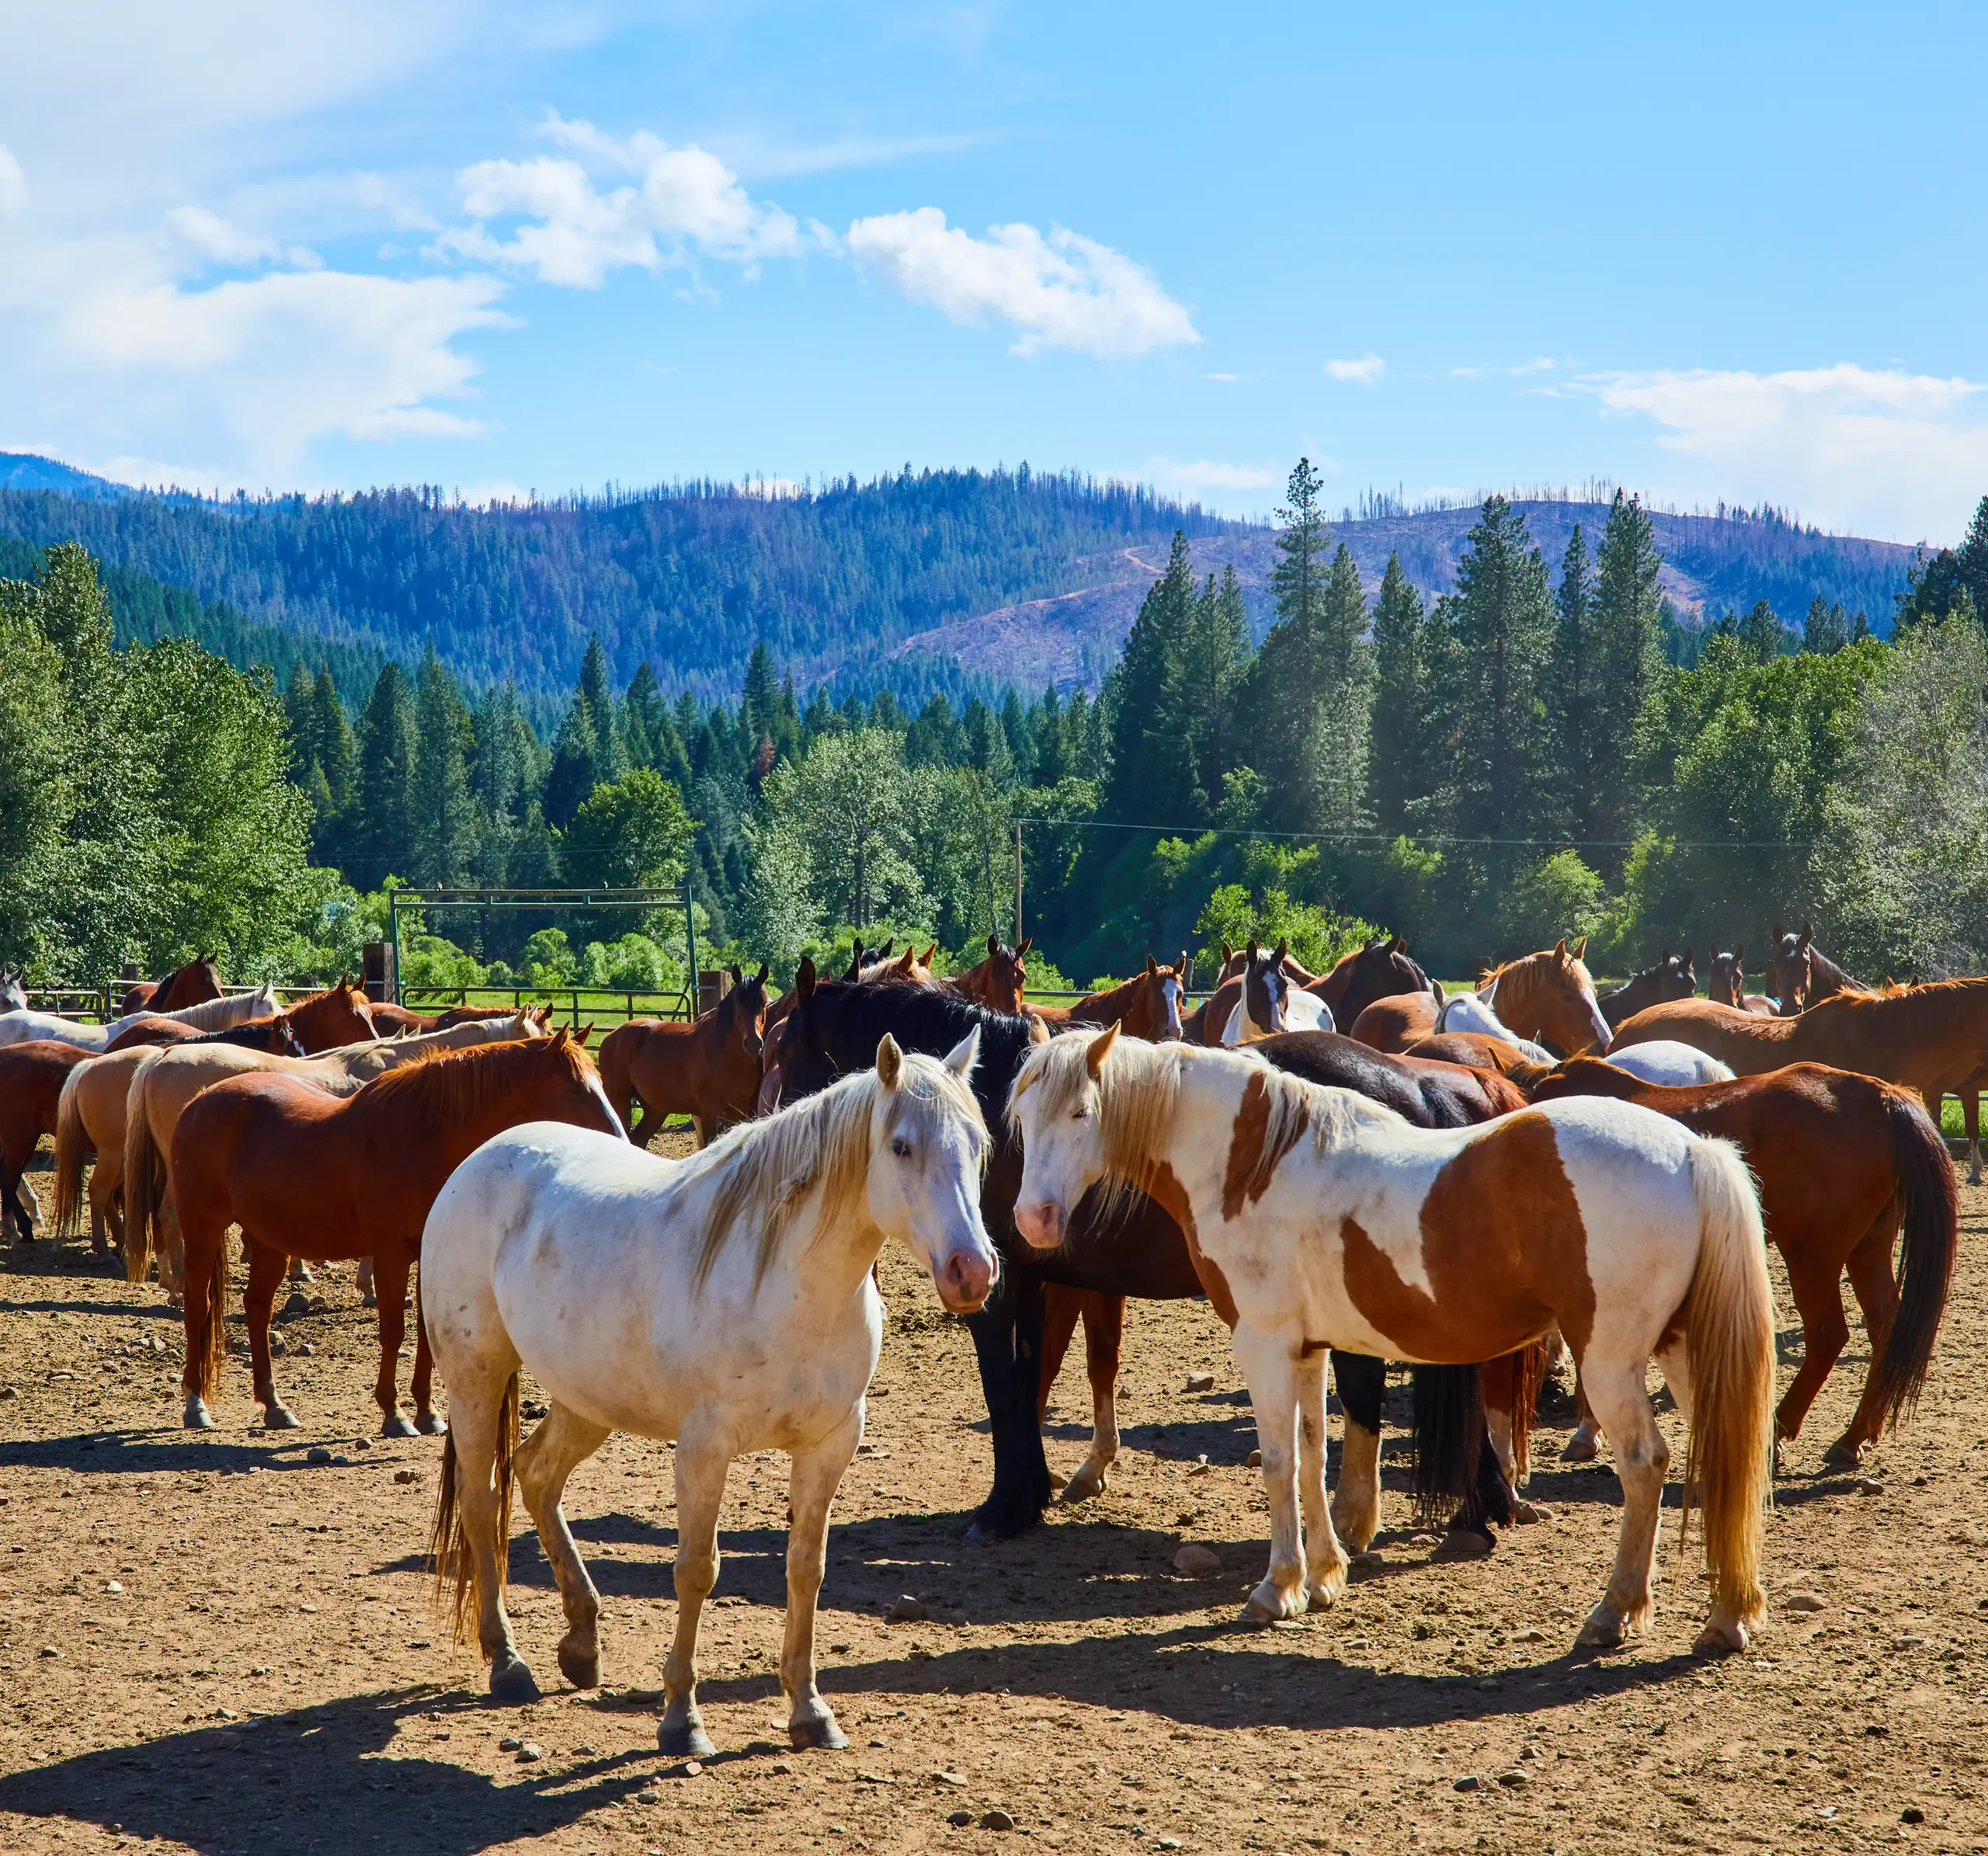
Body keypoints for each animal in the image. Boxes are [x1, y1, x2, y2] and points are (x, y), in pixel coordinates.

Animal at [173, 1028, 623, 1435]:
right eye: (575, 1087)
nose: (620, 1141)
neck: (423, 1137)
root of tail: (199, 1100)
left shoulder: (427, 1255)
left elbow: (424, 1332)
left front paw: (427, 1411)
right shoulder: (390, 1254)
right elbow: (393, 1330)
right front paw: (394, 1413)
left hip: (270, 1241)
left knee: (257, 1308)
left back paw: (274, 1405)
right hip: (202, 1230)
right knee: (198, 1306)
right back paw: (196, 1405)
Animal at [423, 1032, 995, 1742]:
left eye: (978, 1144)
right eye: (901, 1147)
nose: (972, 1271)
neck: (786, 1283)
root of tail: (481, 1159)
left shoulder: (830, 1444)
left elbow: (806, 1567)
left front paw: (810, 1709)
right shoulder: (704, 1448)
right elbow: (697, 1570)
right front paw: (680, 1716)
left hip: (587, 1400)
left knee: (535, 1475)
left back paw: (581, 1643)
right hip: (475, 1379)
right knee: (482, 1503)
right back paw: (507, 1661)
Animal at [597, 965, 770, 1148]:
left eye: (763, 1003)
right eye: (739, 1004)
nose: (753, 1043)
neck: (725, 1054)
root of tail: (611, 1037)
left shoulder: (739, 1110)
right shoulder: (709, 1112)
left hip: (655, 1109)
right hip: (619, 1102)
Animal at [1008, 1028, 1776, 1653]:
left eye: (1080, 1113)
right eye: (1021, 1119)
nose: (1034, 1220)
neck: (1255, 1163)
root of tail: (1691, 1151)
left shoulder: (1262, 1344)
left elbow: (1279, 1463)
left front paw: (1276, 1588)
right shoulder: (1307, 1348)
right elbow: (1315, 1455)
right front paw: (1323, 1577)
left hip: (1610, 1361)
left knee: (1646, 1464)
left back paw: (1614, 1612)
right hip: (1682, 1350)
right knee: (1722, 1457)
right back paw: (1728, 1617)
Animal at [1530, 1058, 1957, 1472]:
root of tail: (1880, 1097)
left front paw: (1587, 1429)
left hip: (1812, 1256)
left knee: (1827, 1335)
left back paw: (1778, 1433)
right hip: (1867, 1250)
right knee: (1886, 1330)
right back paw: (1854, 1437)